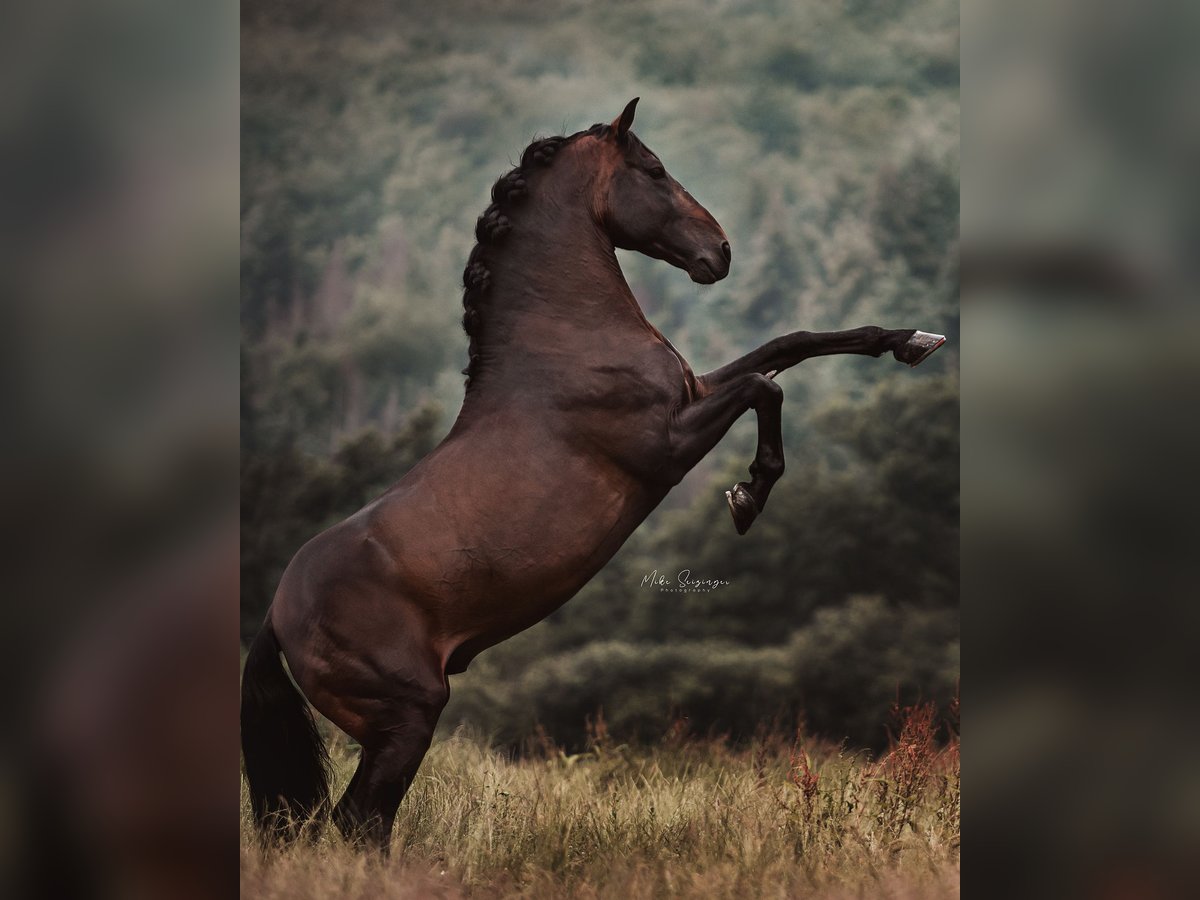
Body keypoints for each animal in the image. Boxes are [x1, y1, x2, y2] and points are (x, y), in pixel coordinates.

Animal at [238, 100, 940, 854]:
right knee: (358, 823)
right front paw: (748, 496)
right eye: (653, 169)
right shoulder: (669, 444)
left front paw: (910, 341)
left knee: (360, 824)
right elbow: (766, 386)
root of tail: (278, 613)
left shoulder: (694, 391)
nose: (721, 252)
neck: (565, 343)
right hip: (406, 718)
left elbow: (791, 345)